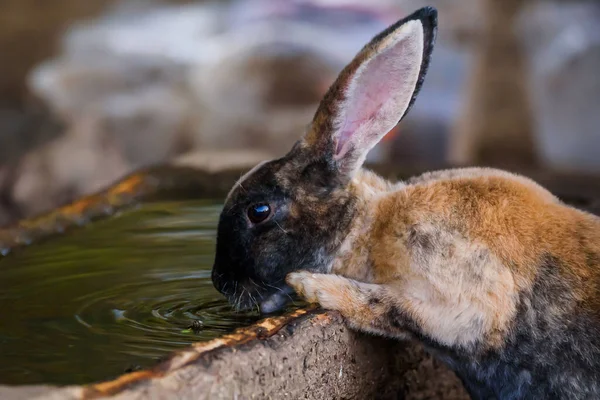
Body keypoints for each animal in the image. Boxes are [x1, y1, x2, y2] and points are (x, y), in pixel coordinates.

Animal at [210, 7, 600, 400]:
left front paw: (314, 285)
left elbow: (387, 306)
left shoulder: (467, 301)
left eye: (258, 212)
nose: (220, 282)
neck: (368, 225)